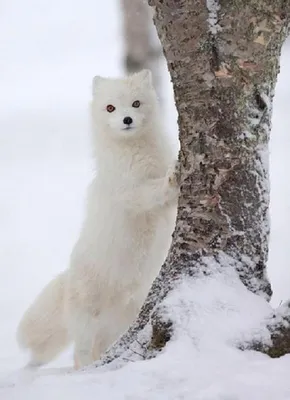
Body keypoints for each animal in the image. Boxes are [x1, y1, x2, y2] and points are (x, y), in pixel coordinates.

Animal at [17, 69, 179, 368]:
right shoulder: (128, 192)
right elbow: (150, 192)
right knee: (79, 353)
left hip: (120, 321)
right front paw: (173, 177)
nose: (127, 120)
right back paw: (84, 370)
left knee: (98, 348)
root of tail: (68, 276)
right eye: (110, 108)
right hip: (87, 317)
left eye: (136, 104)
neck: (139, 156)